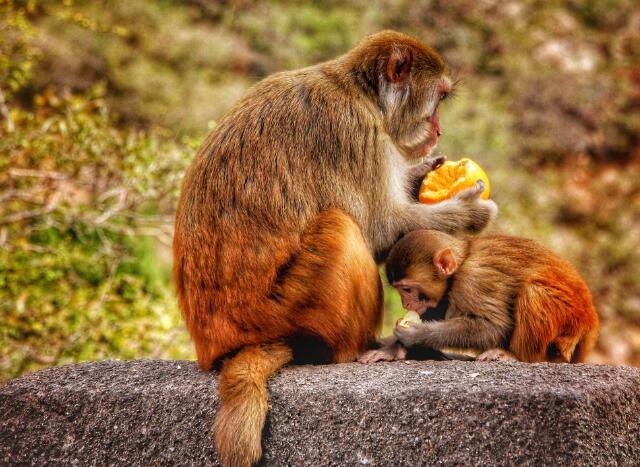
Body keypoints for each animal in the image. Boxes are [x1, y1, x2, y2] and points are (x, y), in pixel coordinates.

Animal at [172, 31, 498, 466]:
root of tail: (221, 345)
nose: (439, 131)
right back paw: (361, 348)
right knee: (342, 229)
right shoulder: (354, 132)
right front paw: (469, 210)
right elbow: (379, 229)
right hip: (283, 309)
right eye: (439, 98)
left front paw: (421, 173)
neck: (363, 95)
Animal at [360, 230, 600, 366]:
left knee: (533, 292)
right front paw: (394, 349)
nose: (406, 303)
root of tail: (591, 320)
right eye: (400, 290)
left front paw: (416, 334)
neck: (463, 260)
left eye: (408, 289)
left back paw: (520, 357)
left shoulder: (473, 280)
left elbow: (495, 326)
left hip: (571, 319)